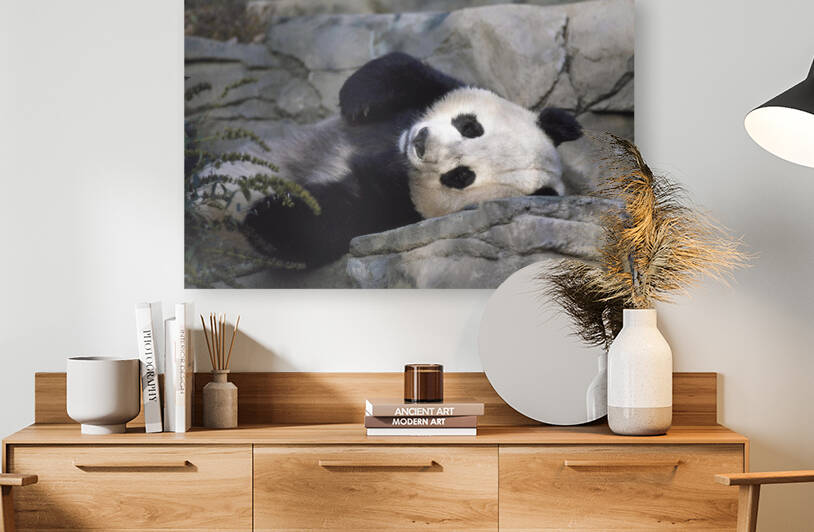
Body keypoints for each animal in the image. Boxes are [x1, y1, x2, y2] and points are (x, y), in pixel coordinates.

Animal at [242, 52, 583, 267]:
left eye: (461, 176)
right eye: (470, 127)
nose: (420, 142)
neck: (395, 153)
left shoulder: (400, 212)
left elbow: (342, 217)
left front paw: (266, 222)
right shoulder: (434, 91)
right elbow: (407, 71)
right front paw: (358, 102)